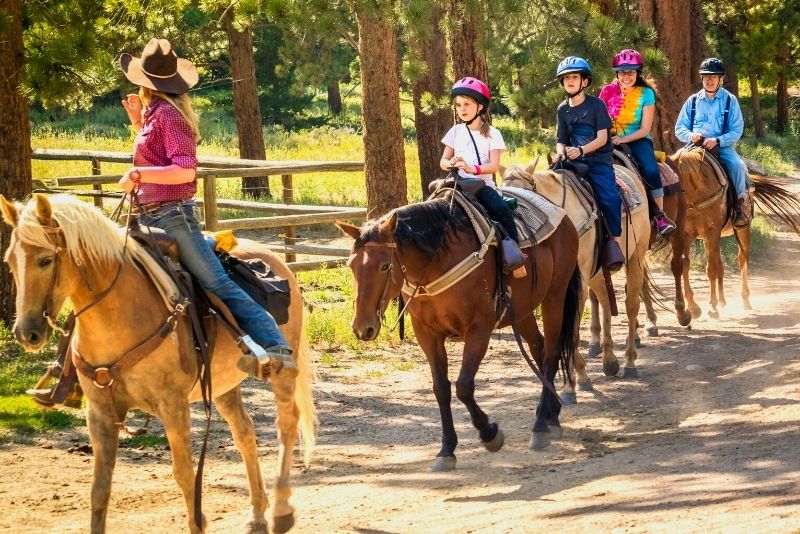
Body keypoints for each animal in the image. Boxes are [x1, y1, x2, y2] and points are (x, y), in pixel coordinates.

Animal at [0, 196, 318, 534]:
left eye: (46, 260)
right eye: (10, 261)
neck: (121, 315)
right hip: (222, 385)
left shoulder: (173, 406)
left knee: (287, 425)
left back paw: (281, 510)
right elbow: (99, 488)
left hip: (282, 372)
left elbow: (185, 475)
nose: (27, 333)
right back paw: (257, 515)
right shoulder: (99, 412)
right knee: (245, 434)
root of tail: (278, 260)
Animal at [336, 194, 580, 474]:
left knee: (551, 352)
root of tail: (563, 216)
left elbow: (463, 386)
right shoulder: (427, 334)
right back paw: (552, 415)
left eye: (385, 266)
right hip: (522, 310)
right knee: (538, 348)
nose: (362, 327)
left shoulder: (478, 329)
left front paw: (490, 434)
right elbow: (441, 389)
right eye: (351, 265)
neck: (436, 261)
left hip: (555, 296)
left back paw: (541, 425)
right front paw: (446, 450)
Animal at [504, 163, 652, 402]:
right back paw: (609, 360)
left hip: (635, 257)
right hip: (597, 272)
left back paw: (629, 362)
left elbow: (570, 330)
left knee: (631, 306)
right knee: (605, 299)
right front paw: (574, 383)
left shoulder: (577, 284)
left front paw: (572, 384)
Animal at [668, 149, 800, 320]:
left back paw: (744, 300)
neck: (697, 194)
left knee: (742, 260)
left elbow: (711, 269)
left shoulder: (713, 231)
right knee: (720, 264)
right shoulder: (687, 234)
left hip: (742, 230)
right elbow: (686, 265)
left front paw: (712, 307)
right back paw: (722, 301)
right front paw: (694, 307)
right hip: (707, 239)